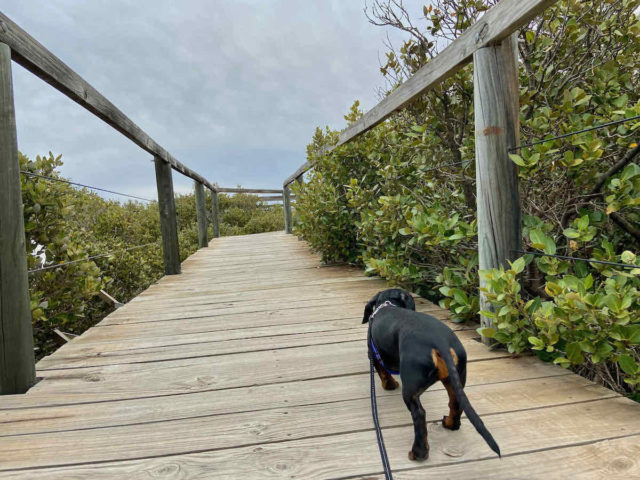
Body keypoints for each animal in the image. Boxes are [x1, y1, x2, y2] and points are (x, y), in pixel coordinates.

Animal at [364, 288, 500, 462]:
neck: (388, 304)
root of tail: (439, 341)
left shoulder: (373, 354)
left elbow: (383, 372)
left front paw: (390, 385)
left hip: (411, 390)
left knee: (420, 415)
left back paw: (418, 453)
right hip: (455, 379)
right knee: (455, 404)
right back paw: (449, 424)